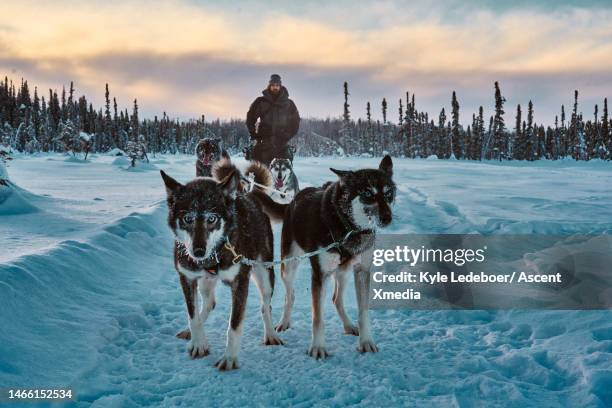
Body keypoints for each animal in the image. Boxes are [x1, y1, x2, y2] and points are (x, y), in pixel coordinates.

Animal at [159, 158, 280, 372]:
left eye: (212, 218)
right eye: (188, 218)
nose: (198, 251)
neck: (212, 255)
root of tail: (250, 193)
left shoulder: (240, 282)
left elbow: (234, 325)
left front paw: (229, 358)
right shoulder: (187, 278)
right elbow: (192, 315)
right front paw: (198, 343)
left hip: (265, 275)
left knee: (266, 306)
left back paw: (271, 334)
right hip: (205, 282)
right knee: (209, 303)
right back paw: (190, 332)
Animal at [251, 155, 394, 358]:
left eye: (388, 193)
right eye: (367, 193)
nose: (387, 218)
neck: (346, 228)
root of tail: (294, 201)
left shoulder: (362, 271)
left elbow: (364, 313)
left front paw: (366, 341)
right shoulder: (320, 274)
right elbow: (317, 318)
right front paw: (318, 347)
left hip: (343, 272)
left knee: (336, 299)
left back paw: (348, 325)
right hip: (289, 267)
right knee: (290, 296)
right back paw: (284, 322)